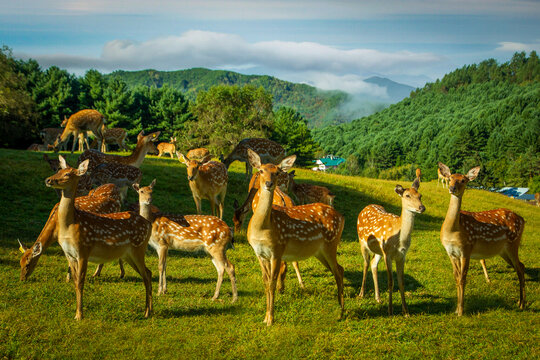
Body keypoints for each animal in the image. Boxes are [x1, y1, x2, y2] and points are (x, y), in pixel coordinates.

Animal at [44, 156, 153, 320]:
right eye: (59, 170)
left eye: (68, 174)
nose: (48, 180)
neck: (69, 226)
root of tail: (148, 224)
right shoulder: (69, 254)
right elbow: (75, 282)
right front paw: (77, 313)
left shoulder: (84, 250)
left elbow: (81, 282)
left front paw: (79, 315)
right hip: (128, 254)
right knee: (149, 272)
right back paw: (150, 310)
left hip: (139, 248)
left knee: (146, 276)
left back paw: (146, 312)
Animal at [247, 149, 344, 326]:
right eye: (261, 170)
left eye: (277, 172)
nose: (269, 183)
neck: (262, 228)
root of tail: (341, 217)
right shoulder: (259, 253)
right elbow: (265, 282)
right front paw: (265, 317)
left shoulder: (277, 250)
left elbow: (272, 283)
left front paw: (271, 319)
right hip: (319, 251)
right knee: (339, 269)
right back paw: (340, 308)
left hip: (331, 243)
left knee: (338, 271)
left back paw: (341, 312)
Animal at [358, 177, 426, 316]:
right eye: (407, 195)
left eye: (420, 195)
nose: (422, 207)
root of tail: (365, 207)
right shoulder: (388, 254)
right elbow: (391, 282)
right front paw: (390, 310)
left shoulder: (402, 255)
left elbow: (401, 282)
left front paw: (406, 312)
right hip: (362, 242)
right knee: (366, 263)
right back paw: (361, 294)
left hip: (379, 251)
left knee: (373, 264)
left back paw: (378, 298)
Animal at [438, 162, 524, 316]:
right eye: (450, 178)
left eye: (463, 180)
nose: (452, 188)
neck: (452, 231)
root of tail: (522, 219)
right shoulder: (451, 252)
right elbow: (456, 278)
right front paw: (456, 309)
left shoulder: (466, 249)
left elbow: (463, 279)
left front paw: (461, 311)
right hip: (503, 251)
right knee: (522, 266)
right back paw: (521, 302)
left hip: (514, 242)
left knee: (520, 269)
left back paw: (521, 304)